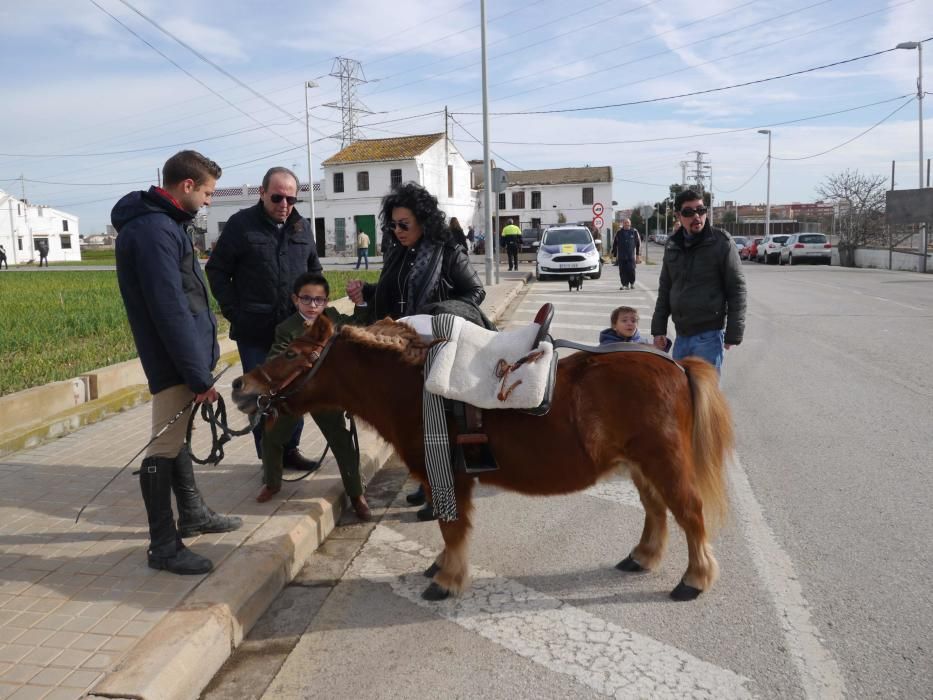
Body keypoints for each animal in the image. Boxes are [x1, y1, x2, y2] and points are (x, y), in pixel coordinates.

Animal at [229, 314, 732, 600]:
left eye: (291, 353)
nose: (239, 386)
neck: (414, 387)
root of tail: (677, 365)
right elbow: (446, 528)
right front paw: (439, 567)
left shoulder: (449, 476)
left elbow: (452, 529)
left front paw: (446, 580)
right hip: (640, 465)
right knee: (656, 511)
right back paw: (642, 557)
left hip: (664, 462)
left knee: (689, 513)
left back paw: (694, 579)